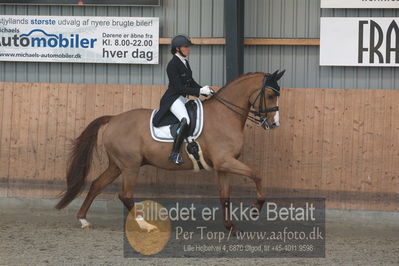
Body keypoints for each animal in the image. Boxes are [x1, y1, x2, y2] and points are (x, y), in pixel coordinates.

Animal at [54, 69, 286, 232]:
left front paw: (231, 227)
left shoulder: (223, 167)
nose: (274, 124)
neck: (224, 115)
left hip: (117, 165)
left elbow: (225, 197)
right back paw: (145, 225)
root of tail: (113, 119)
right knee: (125, 195)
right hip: (130, 166)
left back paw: (83, 220)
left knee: (96, 185)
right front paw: (255, 208)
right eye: (270, 94)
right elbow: (257, 175)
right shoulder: (225, 161)